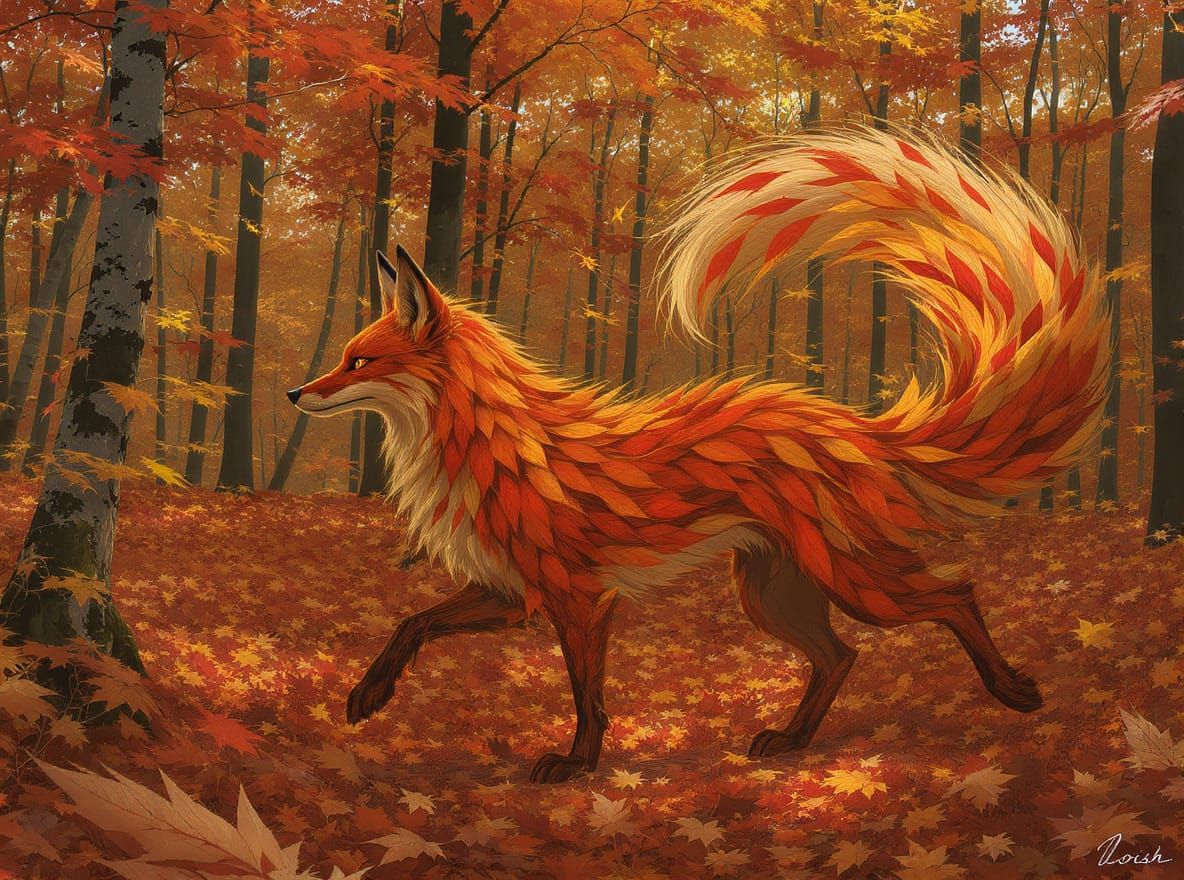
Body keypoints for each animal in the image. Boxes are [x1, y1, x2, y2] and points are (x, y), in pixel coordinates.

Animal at [288, 128, 1109, 783]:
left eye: (359, 362)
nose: (297, 392)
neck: (487, 445)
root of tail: (856, 425)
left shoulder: (579, 598)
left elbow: (586, 695)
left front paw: (577, 764)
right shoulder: (512, 593)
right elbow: (411, 624)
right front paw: (368, 695)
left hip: (857, 579)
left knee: (953, 594)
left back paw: (1011, 691)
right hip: (775, 593)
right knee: (841, 657)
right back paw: (791, 740)